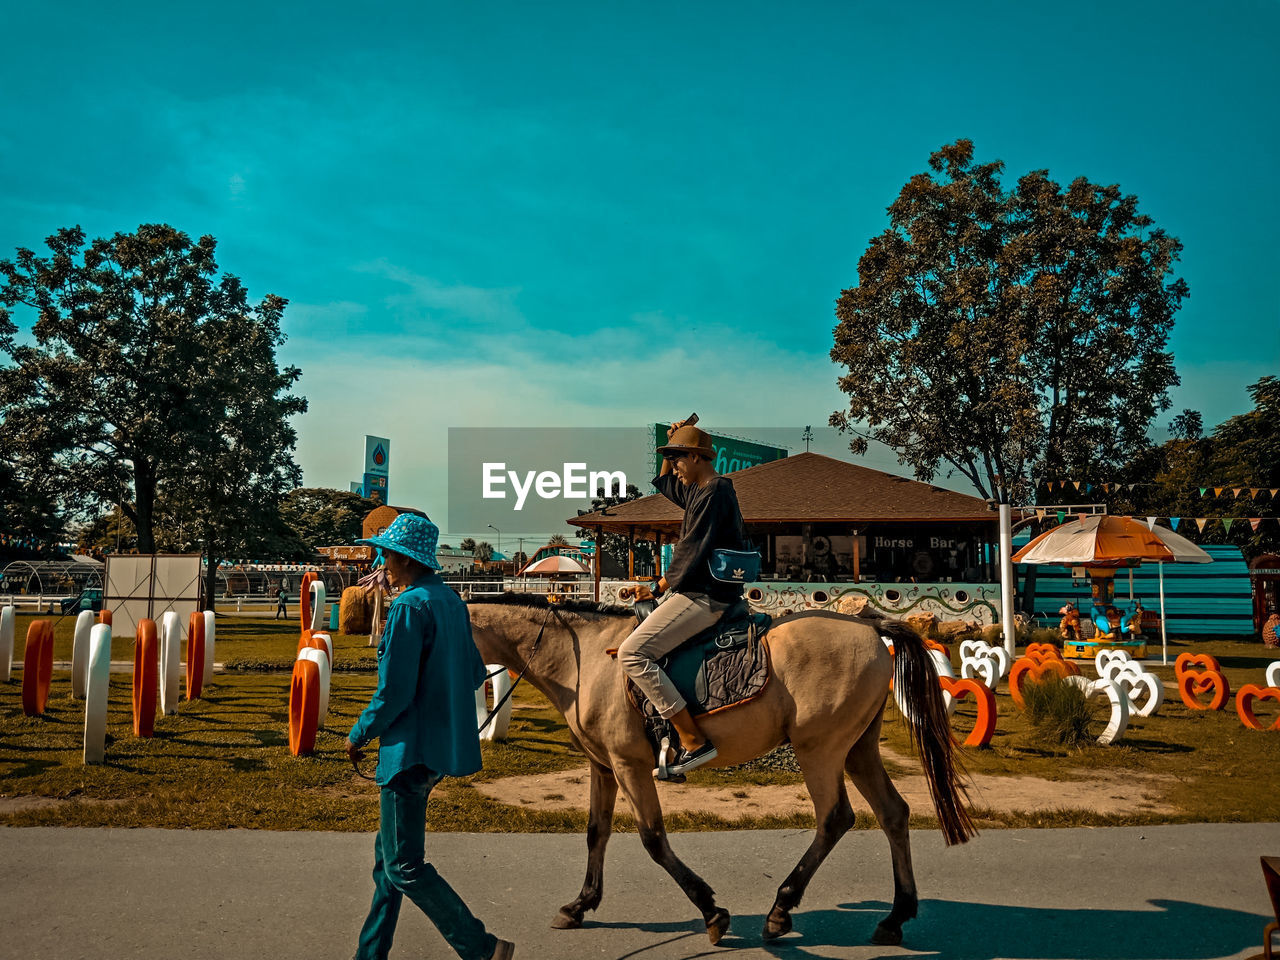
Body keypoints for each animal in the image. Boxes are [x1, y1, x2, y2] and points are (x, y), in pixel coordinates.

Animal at [465, 593, 972, 947]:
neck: (584, 657)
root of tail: (869, 626)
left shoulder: (630, 766)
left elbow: (653, 839)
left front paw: (711, 911)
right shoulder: (603, 766)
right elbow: (596, 832)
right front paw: (580, 905)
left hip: (820, 750)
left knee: (835, 819)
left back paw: (781, 910)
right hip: (857, 749)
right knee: (893, 814)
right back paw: (894, 917)